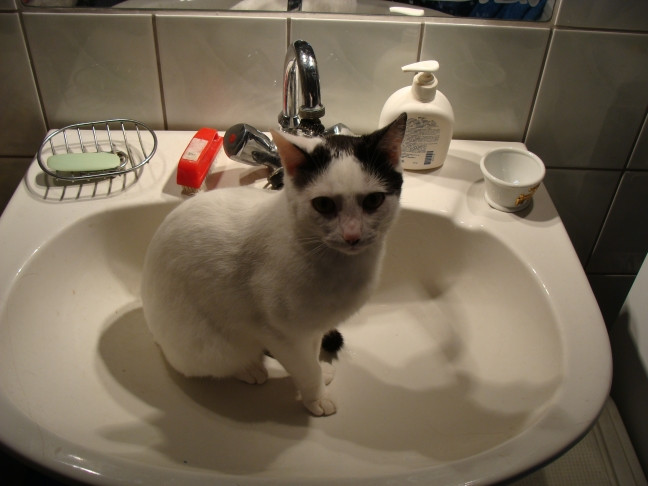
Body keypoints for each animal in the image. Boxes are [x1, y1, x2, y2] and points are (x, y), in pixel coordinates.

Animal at [141, 112, 404, 416]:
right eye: (324, 205)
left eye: (373, 200)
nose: (352, 236)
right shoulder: (279, 333)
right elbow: (305, 368)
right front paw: (316, 396)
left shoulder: (313, 328)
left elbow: (311, 354)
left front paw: (320, 372)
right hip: (211, 346)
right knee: (218, 362)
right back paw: (249, 368)